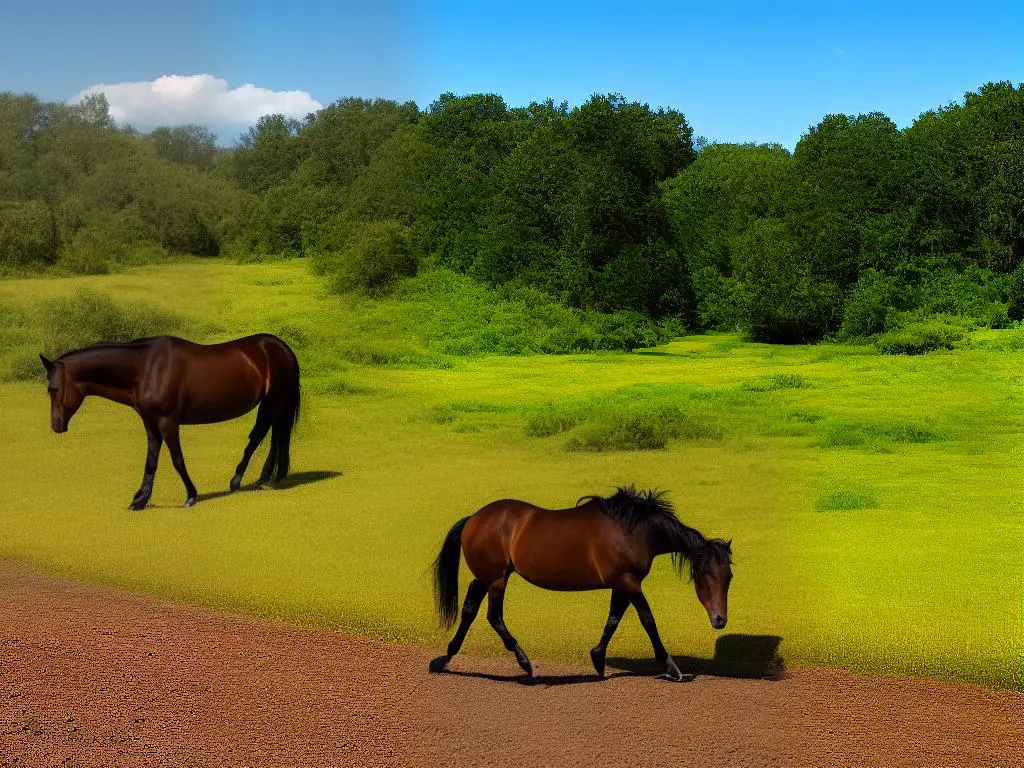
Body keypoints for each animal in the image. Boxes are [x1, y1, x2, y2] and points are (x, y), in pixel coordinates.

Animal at [39, 335, 299, 512]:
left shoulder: (168, 423)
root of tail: (282, 348)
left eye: (52, 389)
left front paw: (191, 495)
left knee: (258, 436)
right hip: (274, 404)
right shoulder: (151, 424)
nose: (56, 425)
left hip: (273, 402)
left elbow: (177, 460)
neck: (146, 369)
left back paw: (238, 480)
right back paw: (270, 477)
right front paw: (139, 500)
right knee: (276, 435)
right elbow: (151, 463)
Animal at [428, 489, 733, 684]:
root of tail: (473, 519)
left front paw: (597, 659)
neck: (633, 530)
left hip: (487, 578)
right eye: (707, 575)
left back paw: (444, 659)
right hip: (496, 579)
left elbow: (613, 619)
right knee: (494, 616)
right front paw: (672, 668)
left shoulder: (621, 584)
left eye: (728, 576)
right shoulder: (629, 582)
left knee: (469, 609)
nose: (720, 620)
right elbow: (648, 620)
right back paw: (525, 663)